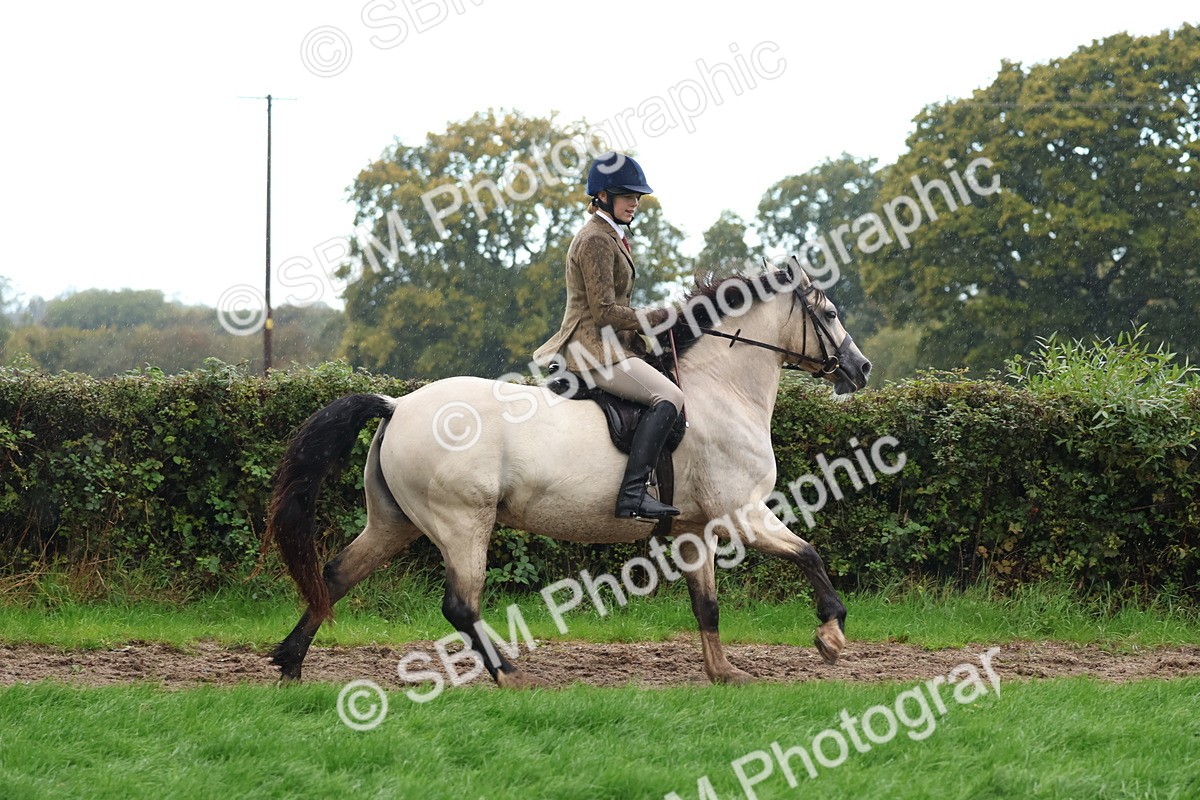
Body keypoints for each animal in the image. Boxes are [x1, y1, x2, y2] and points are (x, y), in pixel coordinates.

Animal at [266, 263, 872, 687]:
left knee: (336, 575)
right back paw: (511, 675)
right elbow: (810, 554)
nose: (861, 368)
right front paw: (831, 634)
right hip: (463, 522)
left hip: (395, 522)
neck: (721, 391)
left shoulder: (695, 529)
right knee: (460, 604)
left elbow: (707, 604)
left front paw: (724, 673)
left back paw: (290, 664)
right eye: (831, 314)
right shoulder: (742, 513)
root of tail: (397, 405)